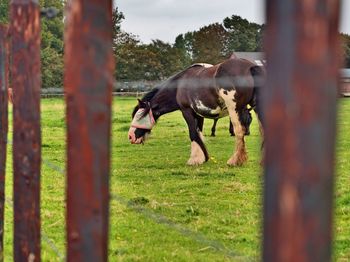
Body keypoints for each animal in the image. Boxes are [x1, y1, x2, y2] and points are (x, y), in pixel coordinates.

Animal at [129, 56, 266, 166]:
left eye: (139, 116)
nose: (130, 136)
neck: (180, 85)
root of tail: (251, 67)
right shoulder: (199, 115)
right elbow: (198, 133)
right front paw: (202, 157)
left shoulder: (187, 111)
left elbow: (193, 134)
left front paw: (195, 159)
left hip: (234, 109)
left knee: (239, 131)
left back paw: (235, 160)